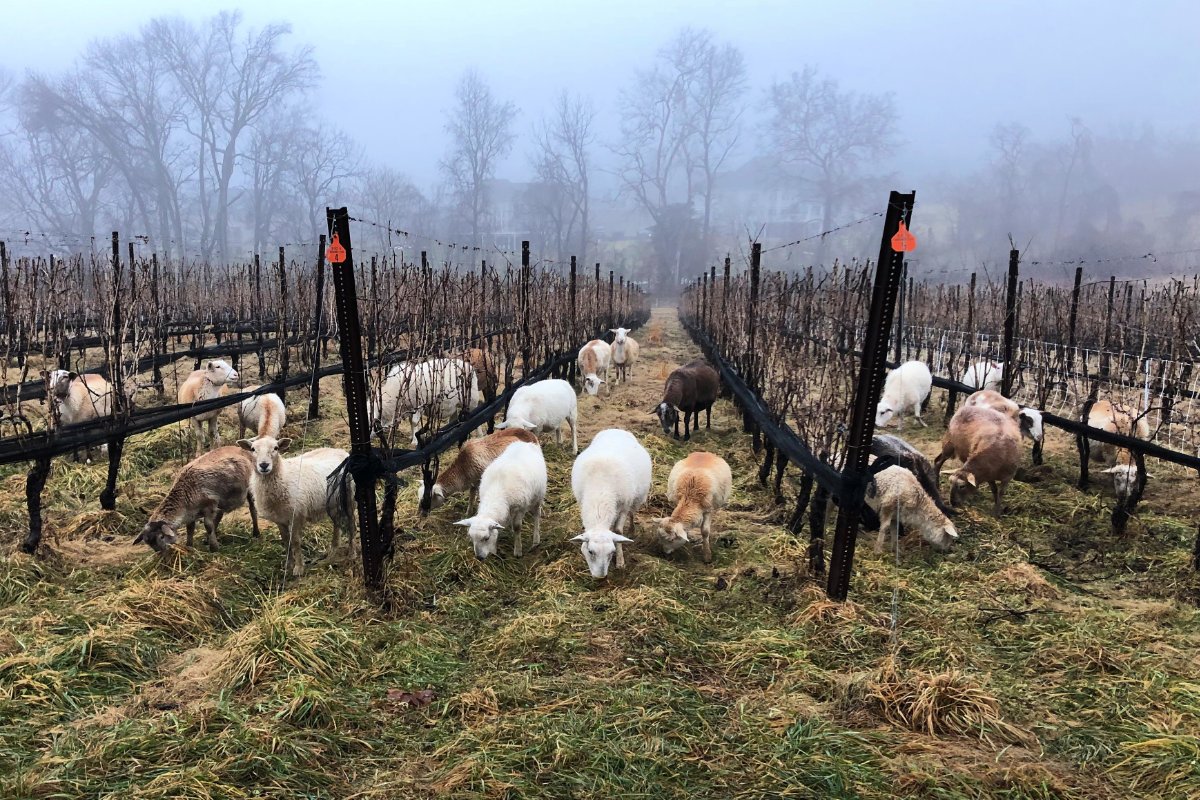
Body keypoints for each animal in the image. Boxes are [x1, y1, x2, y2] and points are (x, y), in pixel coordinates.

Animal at [236, 434, 352, 578]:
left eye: (276, 448)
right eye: (252, 449)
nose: (264, 465)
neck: (283, 476)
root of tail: (341, 451)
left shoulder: (296, 515)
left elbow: (295, 541)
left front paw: (299, 568)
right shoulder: (280, 519)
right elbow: (286, 542)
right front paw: (289, 564)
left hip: (350, 498)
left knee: (351, 523)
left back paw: (351, 553)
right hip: (333, 504)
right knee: (337, 523)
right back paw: (334, 549)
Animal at [568, 429, 648, 578]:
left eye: (612, 552)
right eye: (590, 551)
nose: (600, 577)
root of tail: (616, 429)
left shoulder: (623, 508)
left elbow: (618, 531)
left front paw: (620, 562)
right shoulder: (582, 502)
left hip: (636, 498)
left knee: (632, 513)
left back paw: (632, 529)